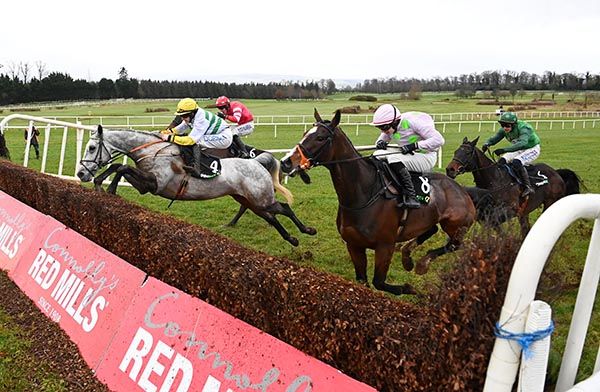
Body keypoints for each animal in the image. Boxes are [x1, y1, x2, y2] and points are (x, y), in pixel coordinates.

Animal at [77, 125, 316, 245]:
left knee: (284, 208)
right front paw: (101, 184)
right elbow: (119, 166)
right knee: (272, 217)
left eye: (91, 148)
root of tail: (256, 162)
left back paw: (306, 230)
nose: (81, 173)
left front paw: (108, 187)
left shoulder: (156, 184)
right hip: (251, 200)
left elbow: (122, 168)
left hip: (261, 198)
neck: (153, 151)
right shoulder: (146, 186)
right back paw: (293, 238)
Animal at [278, 109, 476, 294]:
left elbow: (379, 282)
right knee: (432, 230)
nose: (286, 162)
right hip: (428, 219)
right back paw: (407, 256)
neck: (362, 194)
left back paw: (422, 263)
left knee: (455, 245)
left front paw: (409, 288)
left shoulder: (385, 246)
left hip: (455, 225)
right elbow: (362, 281)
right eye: (305, 133)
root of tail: (461, 190)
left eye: (320, 137)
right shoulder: (354, 245)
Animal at [446, 136, 580, 236]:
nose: (450, 169)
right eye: (456, 151)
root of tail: (557, 173)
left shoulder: (511, 209)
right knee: (525, 228)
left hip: (550, 202)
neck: (495, 179)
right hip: (525, 210)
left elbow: (494, 223)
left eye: (468, 152)